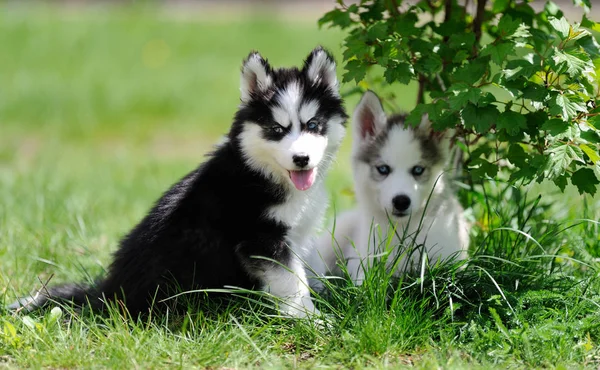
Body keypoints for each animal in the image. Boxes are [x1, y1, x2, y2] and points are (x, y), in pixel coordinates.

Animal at [8, 46, 346, 318]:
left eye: (313, 125)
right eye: (277, 130)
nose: (301, 159)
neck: (260, 171)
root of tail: (106, 294)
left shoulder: (296, 235)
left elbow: (302, 274)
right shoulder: (261, 238)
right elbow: (292, 283)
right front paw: (313, 320)